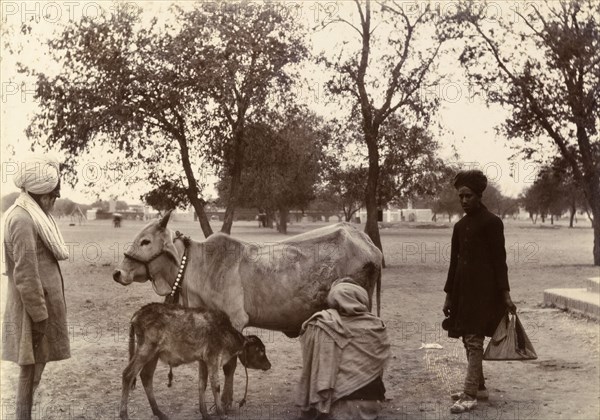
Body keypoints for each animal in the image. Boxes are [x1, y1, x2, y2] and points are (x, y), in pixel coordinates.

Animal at [112, 212, 382, 408]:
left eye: (145, 241)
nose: (118, 273)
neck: (198, 265)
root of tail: (367, 242)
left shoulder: (235, 321)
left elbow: (229, 366)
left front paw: (226, 402)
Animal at [119, 302, 270, 420]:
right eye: (261, 350)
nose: (269, 365)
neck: (226, 333)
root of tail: (138, 314)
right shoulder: (213, 358)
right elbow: (215, 386)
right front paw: (221, 413)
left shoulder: (203, 360)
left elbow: (202, 384)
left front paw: (205, 414)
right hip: (146, 349)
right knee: (128, 374)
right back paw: (124, 414)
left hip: (154, 354)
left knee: (146, 376)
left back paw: (159, 413)